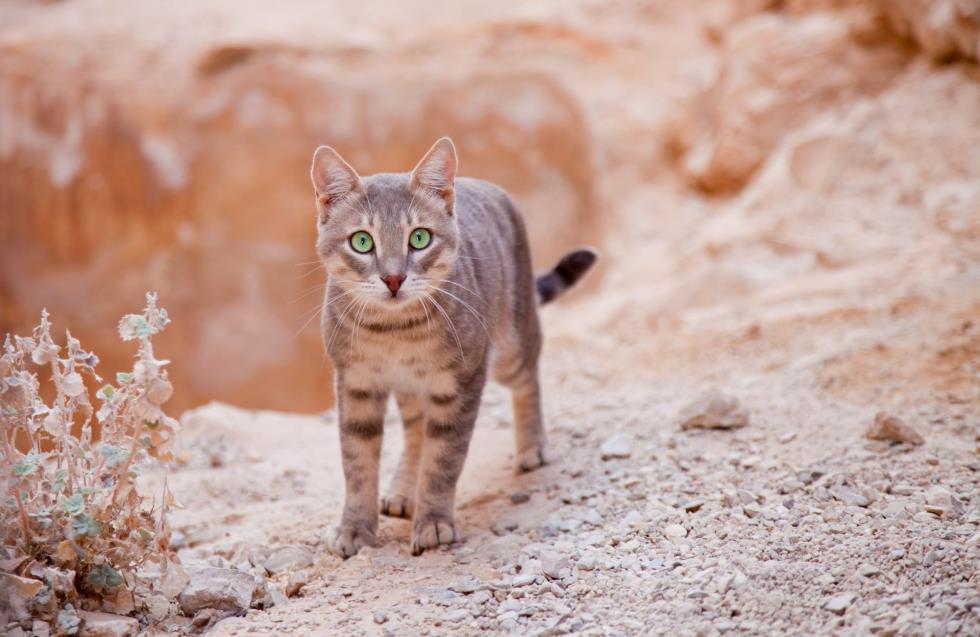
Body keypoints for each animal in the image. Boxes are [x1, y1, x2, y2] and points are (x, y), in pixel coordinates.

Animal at [310, 137, 596, 556]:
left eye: (419, 238)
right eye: (362, 241)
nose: (393, 278)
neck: (393, 332)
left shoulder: (461, 382)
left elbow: (443, 460)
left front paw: (433, 524)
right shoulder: (355, 383)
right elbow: (357, 465)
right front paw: (355, 528)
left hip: (512, 342)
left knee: (528, 382)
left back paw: (532, 449)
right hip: (413, 388)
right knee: (415, 431)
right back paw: (402, 490)